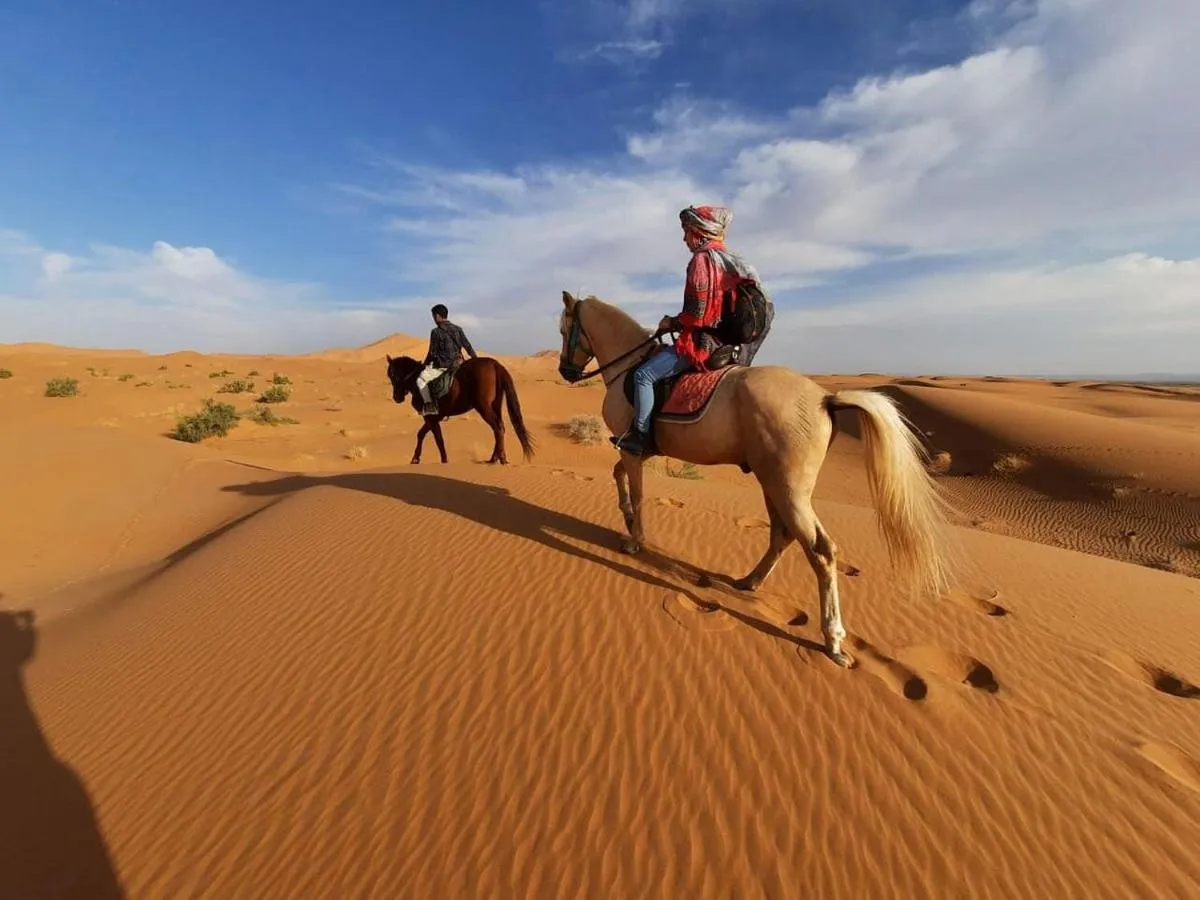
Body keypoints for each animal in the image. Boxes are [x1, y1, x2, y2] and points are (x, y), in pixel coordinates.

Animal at [385, 355, 535, 465]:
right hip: (495, 405)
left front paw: (443, 460)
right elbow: (422, 434)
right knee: (499, 428)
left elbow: (437, 438)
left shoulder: (430, 417)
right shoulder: (434, 417)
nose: (396, 397)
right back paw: (494, 458)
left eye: (393, 375)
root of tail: (495, 364)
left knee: (497, 427)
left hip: (483, 407)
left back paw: (500, 458)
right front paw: (417, 458)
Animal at [555, 290, 960, 668]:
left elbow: (637, 491)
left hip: (789, 490)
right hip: (773, 484)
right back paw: (749, 582)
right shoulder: (637, 450)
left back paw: (832, 639)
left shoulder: (632, 448)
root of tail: (825, 399)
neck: (629, 366)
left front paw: (634, 539)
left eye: (564, 329)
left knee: (821, 550)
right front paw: (625, 518)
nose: (565, 372)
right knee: (782, 535)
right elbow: (618, 476)